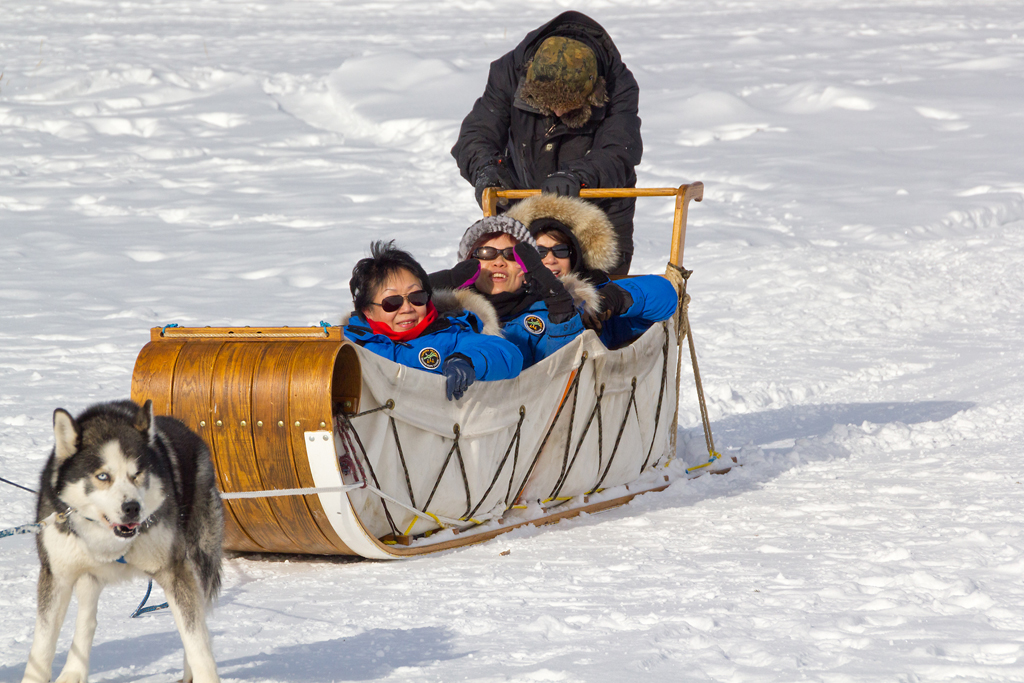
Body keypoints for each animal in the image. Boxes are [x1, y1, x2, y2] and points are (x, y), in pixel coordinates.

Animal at [23, 401, 223, 683]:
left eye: (137, 474)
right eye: (102, 476)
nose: (132, 508)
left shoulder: (174, 571)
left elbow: (196, 640)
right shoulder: (57, 575)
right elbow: (42, 646)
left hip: (198, 560)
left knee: (199, 619)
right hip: (87, 574)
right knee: (86, 621)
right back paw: (73, 673)